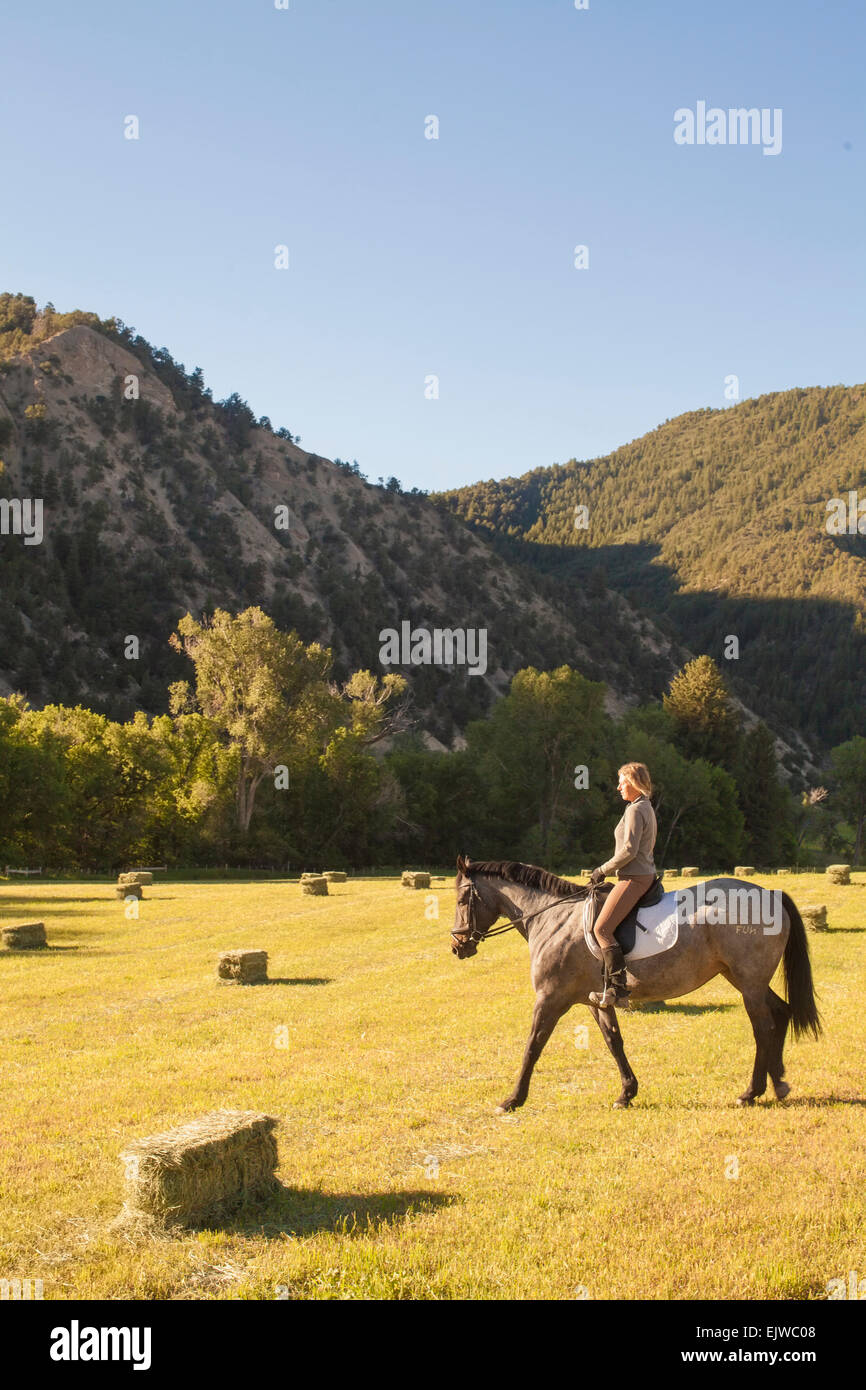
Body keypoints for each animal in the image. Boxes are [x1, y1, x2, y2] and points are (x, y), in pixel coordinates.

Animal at [450, 856, 822, 1106]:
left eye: (460, 899)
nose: (457, 946)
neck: (552, 918)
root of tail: (770, 894)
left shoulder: (550, 998)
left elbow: (532, 1046)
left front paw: (512, 1099)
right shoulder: (595, 1000)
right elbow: (614, 1041)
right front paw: (627, 1093)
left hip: (748, 983)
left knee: (763, 1028)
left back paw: (751, 1092)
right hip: (744, 979)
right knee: (781, 1014)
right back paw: (779, 1083)